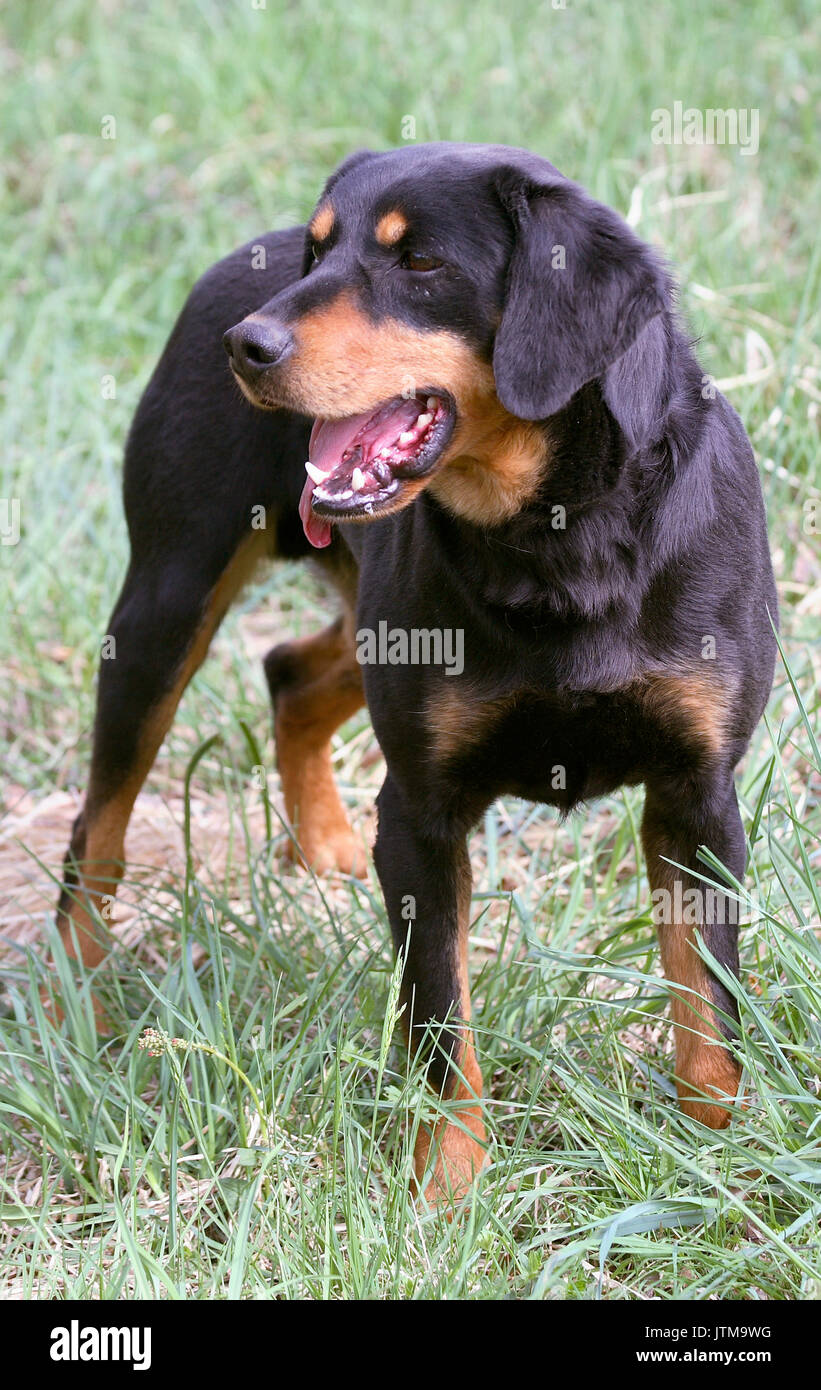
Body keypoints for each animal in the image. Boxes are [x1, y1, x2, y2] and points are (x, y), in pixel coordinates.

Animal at [56, 143, 777, 1206]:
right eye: (319, 251)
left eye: (422, 262)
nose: (246, 343)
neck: (556, 542)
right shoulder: (422, 815)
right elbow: (440, 1020)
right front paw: (448, 1191)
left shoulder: (698, 796)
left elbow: (708, 1015)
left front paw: (719, 1165)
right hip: (164, 607)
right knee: (98, 829)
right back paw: (73, 1000)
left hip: (360, 625)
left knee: (289, 670)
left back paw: (320, 841)